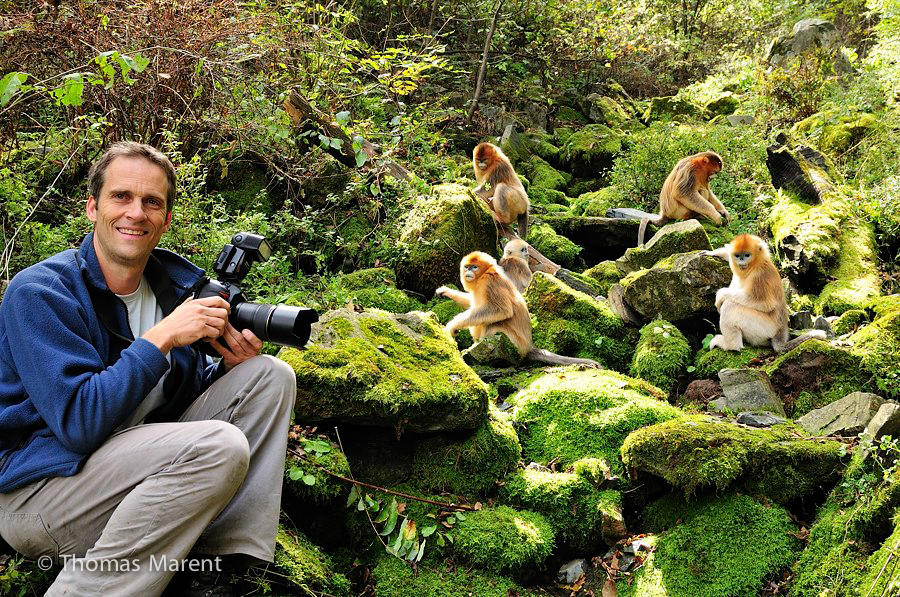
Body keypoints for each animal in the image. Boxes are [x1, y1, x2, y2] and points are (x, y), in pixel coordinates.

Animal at [436, 249, 596, 366]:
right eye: (467, 267)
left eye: (474, 267)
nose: (468, 272)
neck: (484, 274)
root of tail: (528, 346)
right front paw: (446, 291)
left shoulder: (489, 282)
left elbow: (502, 310)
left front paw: (452, 325)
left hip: (514, 343)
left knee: (492, 323)